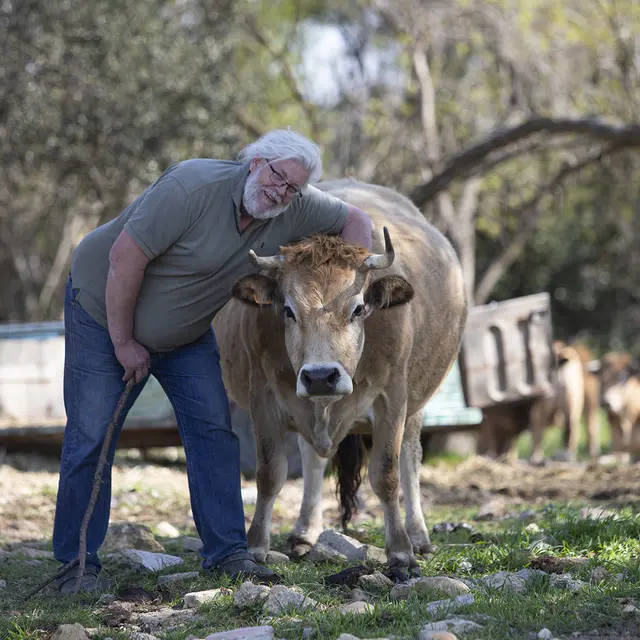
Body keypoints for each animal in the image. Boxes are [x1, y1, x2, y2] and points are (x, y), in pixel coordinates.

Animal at [213, 178, 468, 575]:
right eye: (288, 310)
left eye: (358, 308)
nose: (320, 376)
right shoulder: (263, 398)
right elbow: (270, 474)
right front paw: (255, 545)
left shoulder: (393, 399)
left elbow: (387, 474)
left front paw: (401, 551)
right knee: (313, 458)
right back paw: (305, 532)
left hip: (417, 404)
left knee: (411, 459)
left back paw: (419, 537)